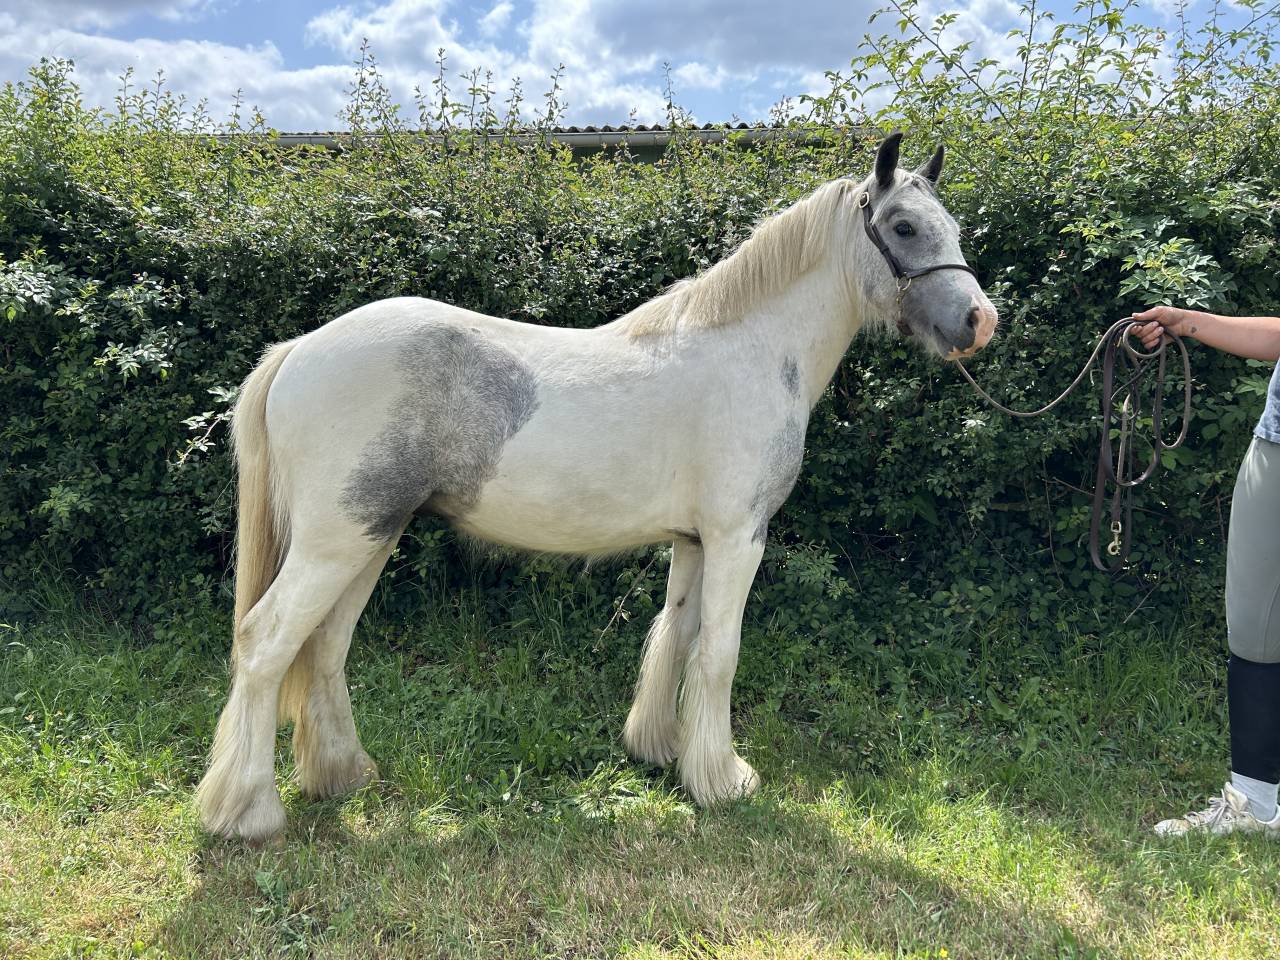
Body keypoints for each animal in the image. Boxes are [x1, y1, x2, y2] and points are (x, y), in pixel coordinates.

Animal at [195, 131, 998, 841]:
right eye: (903, 225)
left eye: (952, 227)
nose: (979, 321)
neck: (750, 351)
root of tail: (300, 350)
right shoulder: (738, 538)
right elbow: (719, 652)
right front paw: (722, 780)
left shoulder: (695, 542)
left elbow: (677, 634)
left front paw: (661, 751)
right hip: (336, 541)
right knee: (267, 642)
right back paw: (248, 812)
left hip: (371, 536)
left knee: (324, 645)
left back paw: (342, 775)